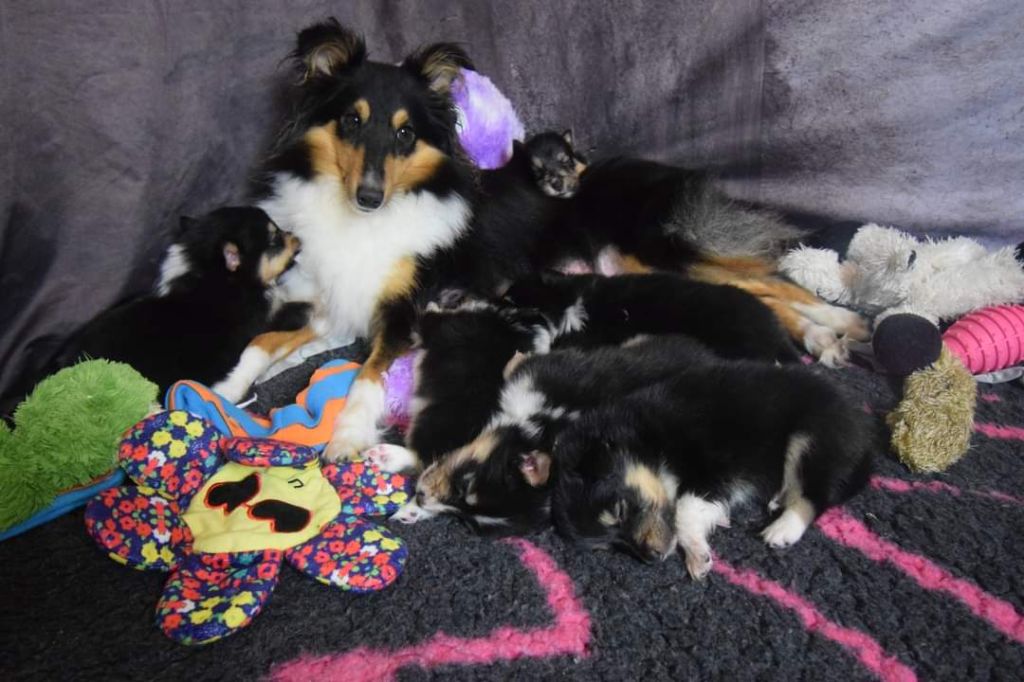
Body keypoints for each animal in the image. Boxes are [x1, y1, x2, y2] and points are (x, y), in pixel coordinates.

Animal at [249, 19, 864, 462]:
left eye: (405, 133)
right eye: (350, 122)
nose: (369, 197)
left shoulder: (405, 308)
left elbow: (366, 376)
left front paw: (346, 437)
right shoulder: (328, 300)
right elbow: (262, 342)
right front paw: (236, 385)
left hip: (655, 252)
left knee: (771, 280)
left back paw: (841, 324)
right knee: (756, 295)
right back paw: (822, 335)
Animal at [403, 333, 716, 532]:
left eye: (466, 523)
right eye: (465, 484)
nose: (420, 497)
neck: (542, 427)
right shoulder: (539, 377)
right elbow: (516, 366)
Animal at [552, 358, 872, 577]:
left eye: (619, 511)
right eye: (611, 547)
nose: (653, 559)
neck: (650, 440)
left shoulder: (715, 469)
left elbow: (683, 509)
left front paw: (697, 554)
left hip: (812, 436)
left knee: (814, 495)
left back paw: (782, 529)